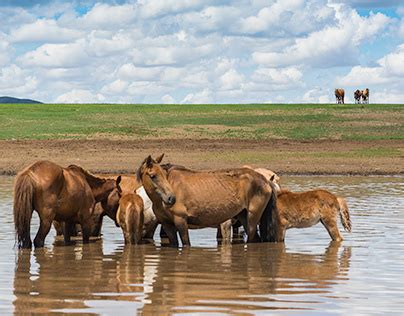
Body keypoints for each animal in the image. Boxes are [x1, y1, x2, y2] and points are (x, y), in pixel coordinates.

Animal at [137, 154, 276, 248]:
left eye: (163, 174)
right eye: (153, 176)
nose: (171, 198)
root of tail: (265, 180)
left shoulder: (181, 221)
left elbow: (186, 244)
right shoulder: (167, 225)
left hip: (252, 218)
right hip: (243, 216)